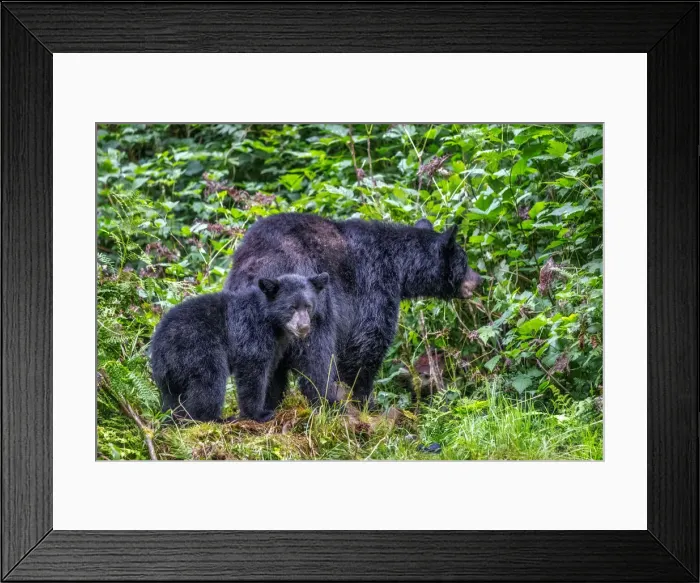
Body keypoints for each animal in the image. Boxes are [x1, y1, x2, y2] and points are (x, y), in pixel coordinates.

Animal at [150, 272, 329, 423]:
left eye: (308, 306)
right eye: (291, 307)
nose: (304, 327)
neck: (272, 322)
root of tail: (159, 346)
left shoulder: (276, 344)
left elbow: (271, 370)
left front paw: (271, 403)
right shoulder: (252, 331)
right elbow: (252, 370)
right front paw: (259, 413)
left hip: (170, 374)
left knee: (173, 396)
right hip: (196, 348)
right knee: (210, 381)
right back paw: (214, 418)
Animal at [224, 213, 482, 409]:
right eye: (465, 260)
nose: (478, 280)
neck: (399, 266)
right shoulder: (374, 286)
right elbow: (366, 345)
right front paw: (367, 401)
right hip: (311, 309)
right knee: (317, 357)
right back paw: (329, 402)